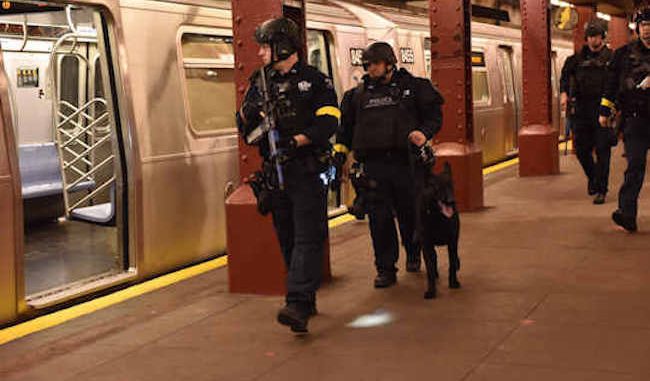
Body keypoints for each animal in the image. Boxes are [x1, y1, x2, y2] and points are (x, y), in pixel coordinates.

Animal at [412, 162, 458, 298]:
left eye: (451, 185)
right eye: (437, 187)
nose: (452, 201)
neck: (437, 216)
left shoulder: (452, 242)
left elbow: (452, 264)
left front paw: (453, 282)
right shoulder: (427, 245)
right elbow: (430, 269)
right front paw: (431, 290)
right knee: (434, 258)